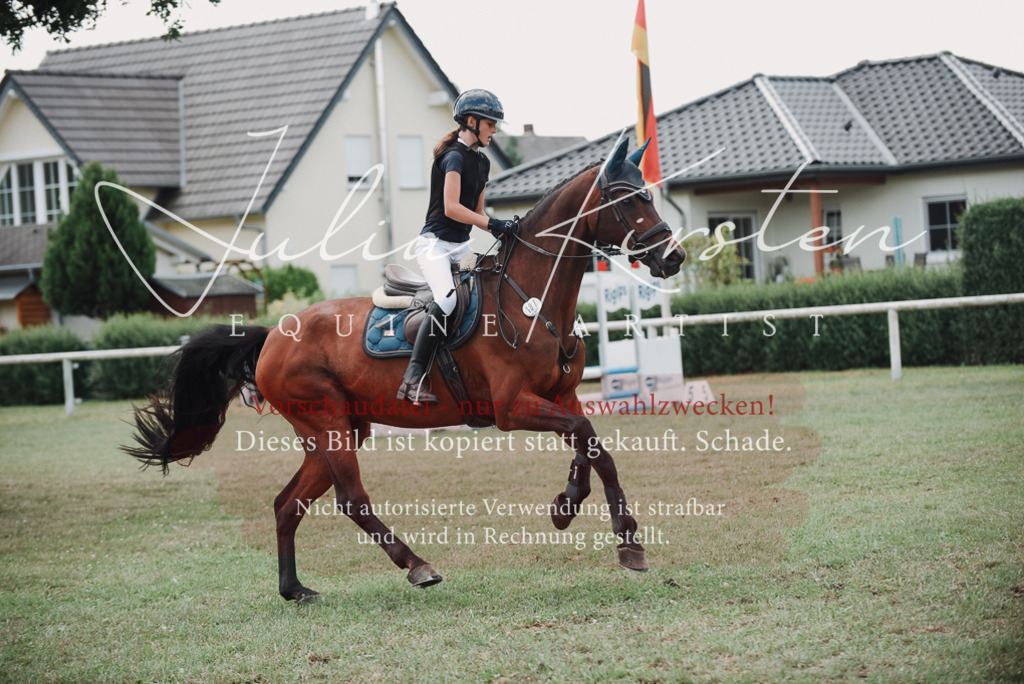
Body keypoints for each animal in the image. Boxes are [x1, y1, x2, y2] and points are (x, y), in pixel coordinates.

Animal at [124, 138, 686, 602]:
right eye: (628, 200)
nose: (674, 257)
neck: (531, 299)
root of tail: (273, 335)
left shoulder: (562, 395)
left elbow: (593, 448)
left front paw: (583, 516)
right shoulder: (511, 408)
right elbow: (586, 435)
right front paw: (596, 522)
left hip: (335, 430)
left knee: (288, 504)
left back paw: (294, 589)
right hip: (327, 424)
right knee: (351, 500)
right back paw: (417, 566)